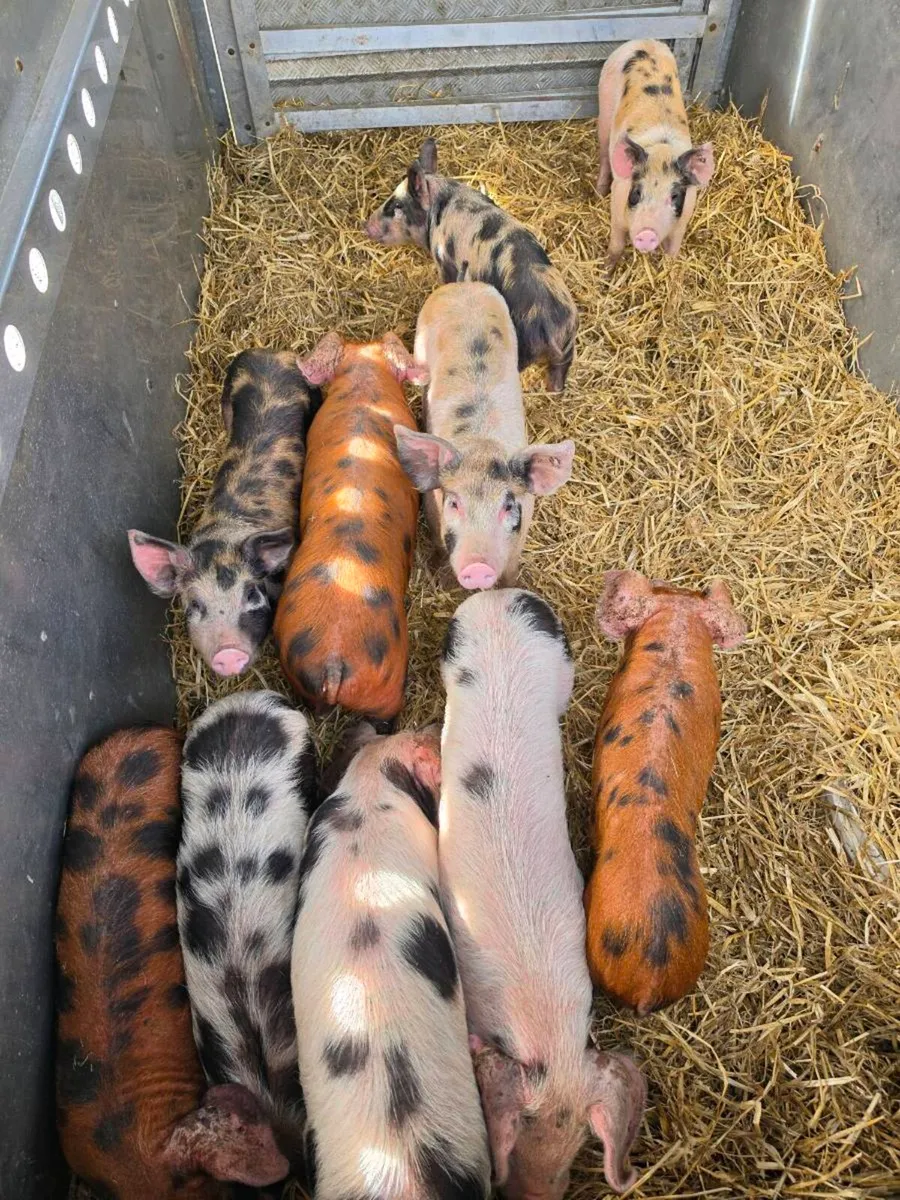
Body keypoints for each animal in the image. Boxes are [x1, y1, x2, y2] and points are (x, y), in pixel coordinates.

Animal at [393, 283, 575, 591]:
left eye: (507, 505)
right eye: (455, 503)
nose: (478, 567)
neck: (481, 444)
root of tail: (464, 287)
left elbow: (510, 571)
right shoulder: (432, 507)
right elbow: (439, 547)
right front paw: (443, 581)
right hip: (419, 342)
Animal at [597, 39, 715, 265]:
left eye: (674, 196)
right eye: (637, 193)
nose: (647, 233)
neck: (662, 149)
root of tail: (646, 41)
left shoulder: (684, 217)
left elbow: (673, 250)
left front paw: (669, 267)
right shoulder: (618, 200)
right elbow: (616, 244)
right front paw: (606, 270)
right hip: (604, 108)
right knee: (606, 156)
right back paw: (598, 192)